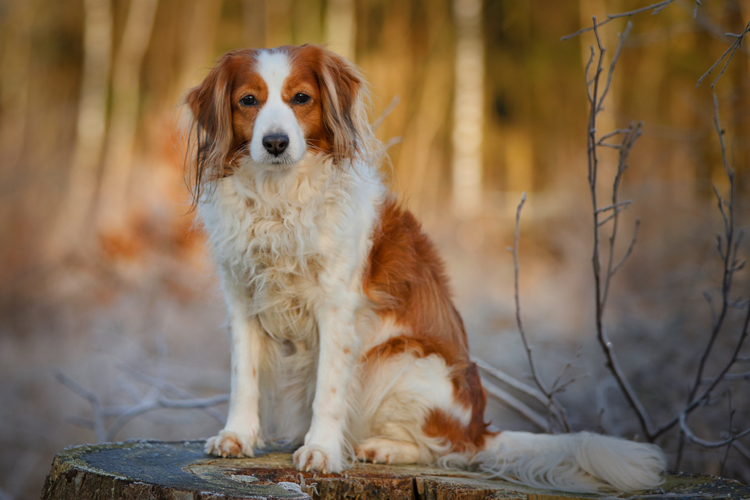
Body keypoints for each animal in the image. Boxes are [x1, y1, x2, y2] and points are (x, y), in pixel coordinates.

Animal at [185, 43, 668, 492]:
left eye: (301, 98)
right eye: (249, 101)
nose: (275, 143)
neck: (279, 197)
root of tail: (479, 429)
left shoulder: (337, 307)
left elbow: (329, 388)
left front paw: (321, 449)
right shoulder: (242, 299)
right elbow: (243, 376)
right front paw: (237, 436)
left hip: (399, 361)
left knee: (444, 449)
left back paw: (380, 448)